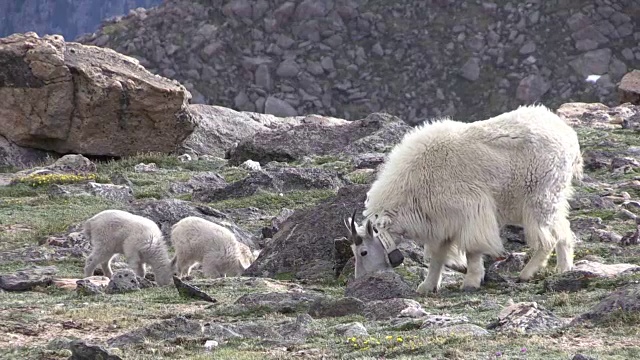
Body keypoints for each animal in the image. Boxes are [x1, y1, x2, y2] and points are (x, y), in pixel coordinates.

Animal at [344, 103, 584, 292]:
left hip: (540, 195)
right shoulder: (441, 223)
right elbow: (437, 256)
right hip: (554, 195)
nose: (361, 280)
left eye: (363, 252)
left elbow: (472, 248)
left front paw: (470, 281)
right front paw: (427, 286)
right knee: (563, 230)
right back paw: (564, 269)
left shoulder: (470, 210)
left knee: (547, 238)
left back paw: (526, 273)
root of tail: (569, 136)